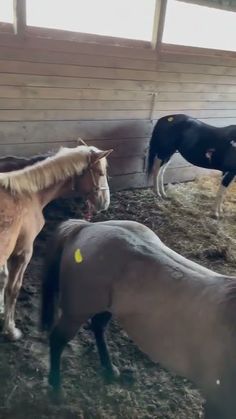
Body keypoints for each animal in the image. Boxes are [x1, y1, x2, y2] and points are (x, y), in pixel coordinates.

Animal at [0, 142, 112, 342]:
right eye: (100, 173)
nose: (105, 202)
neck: (27, 193)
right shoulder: (23, 253)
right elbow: (13, 289)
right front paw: (10, 330)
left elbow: (3, 280)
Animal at [41, 220, 236, 419]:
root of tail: (87, 226)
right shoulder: (218, 400)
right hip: (76, 312)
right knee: (58, 339)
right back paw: (57, 391)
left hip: (107, 307)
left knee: (98, 327)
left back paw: (109, 370)